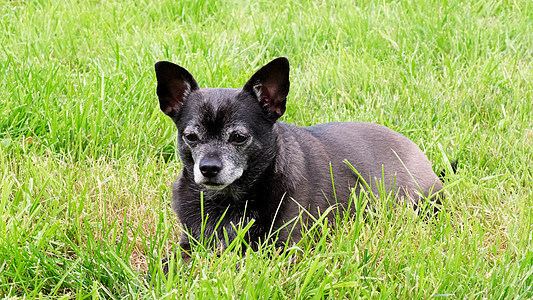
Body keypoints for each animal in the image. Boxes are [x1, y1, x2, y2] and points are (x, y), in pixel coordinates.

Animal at [153, 57, 440, 264]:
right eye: (191, 137)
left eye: (238, 137)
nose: (208, 168)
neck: (228, 200)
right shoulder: (189, 244)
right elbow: (167, 264)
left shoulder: (281, 249)